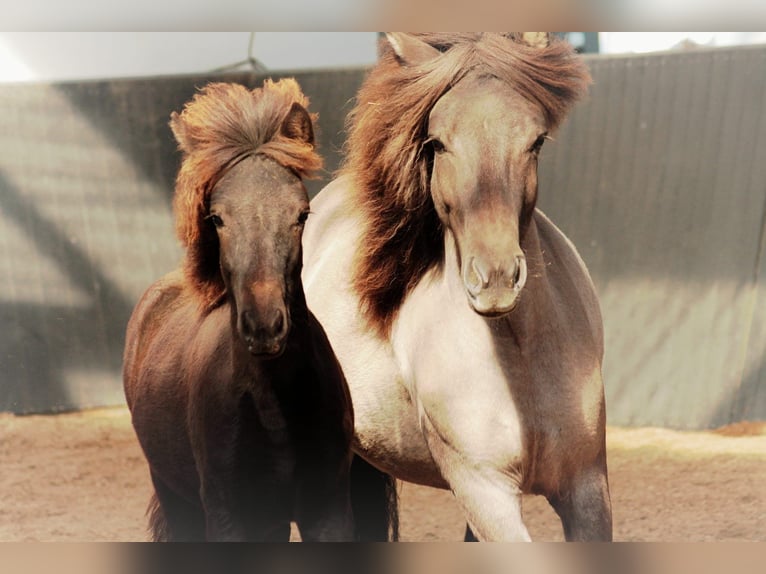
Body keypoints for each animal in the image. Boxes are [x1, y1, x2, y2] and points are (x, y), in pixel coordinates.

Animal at [123, 79, 395, 541]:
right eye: (216, 218)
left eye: (301, 213)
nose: (264, 326)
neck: (272, 402)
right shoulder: (230, 518)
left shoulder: (327, 511)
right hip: (176, 497)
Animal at [302, 33, 613, 541]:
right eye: (438, 143)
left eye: (536, 141)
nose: (495, 280)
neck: (520, 360)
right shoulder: (485, 490)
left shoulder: (586, 488)